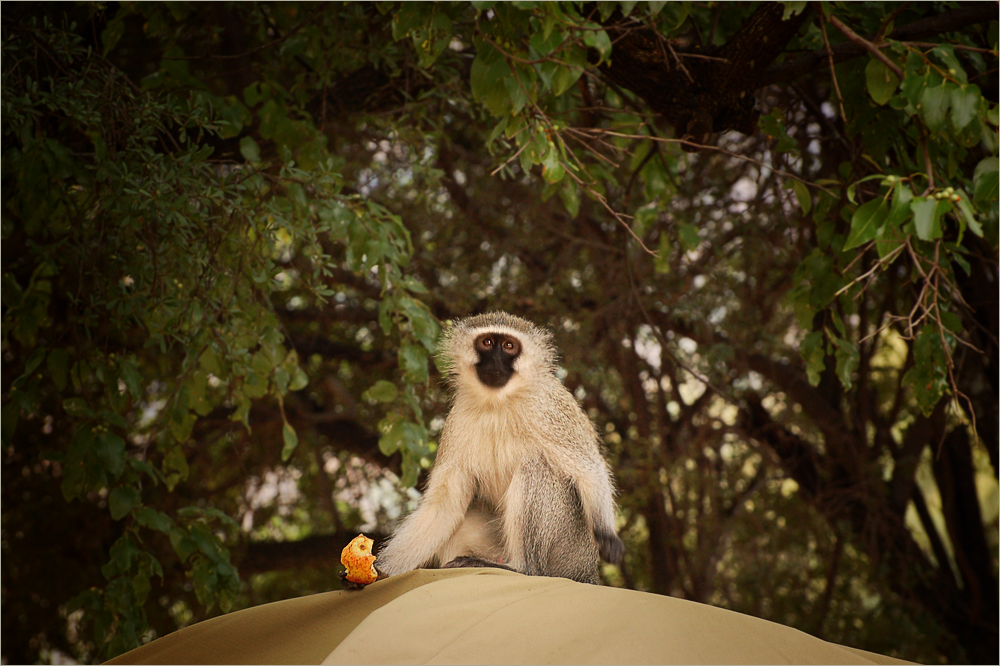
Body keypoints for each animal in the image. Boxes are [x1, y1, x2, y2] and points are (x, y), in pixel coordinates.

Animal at [378, 312, 620, 580]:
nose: (495, 361)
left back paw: (521, 567)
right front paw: (379, 570)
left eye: (508, 346)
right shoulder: (457, 421)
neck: (497, 403)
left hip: (568, 548)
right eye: (487, 343)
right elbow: (445, 506)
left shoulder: (548, 411)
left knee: (536, 469)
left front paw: (607, 534)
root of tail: (586, 569)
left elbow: (589, 469)